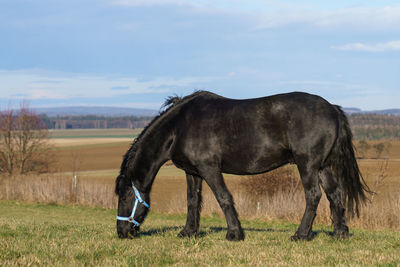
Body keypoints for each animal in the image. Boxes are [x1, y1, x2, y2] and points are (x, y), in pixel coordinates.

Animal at [113, 91, 368, 242]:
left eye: (125, 197)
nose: (121, 232)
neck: (180, 126)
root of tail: (332, 108)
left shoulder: (209, 169)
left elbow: (223, 198)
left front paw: (234, 233)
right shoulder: (192, 172)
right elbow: (192, 201)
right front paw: (188, 232)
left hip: (308, 165)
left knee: (313, 195)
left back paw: (301, 235)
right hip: (322, 166)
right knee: (335, 194)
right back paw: (340, 233)